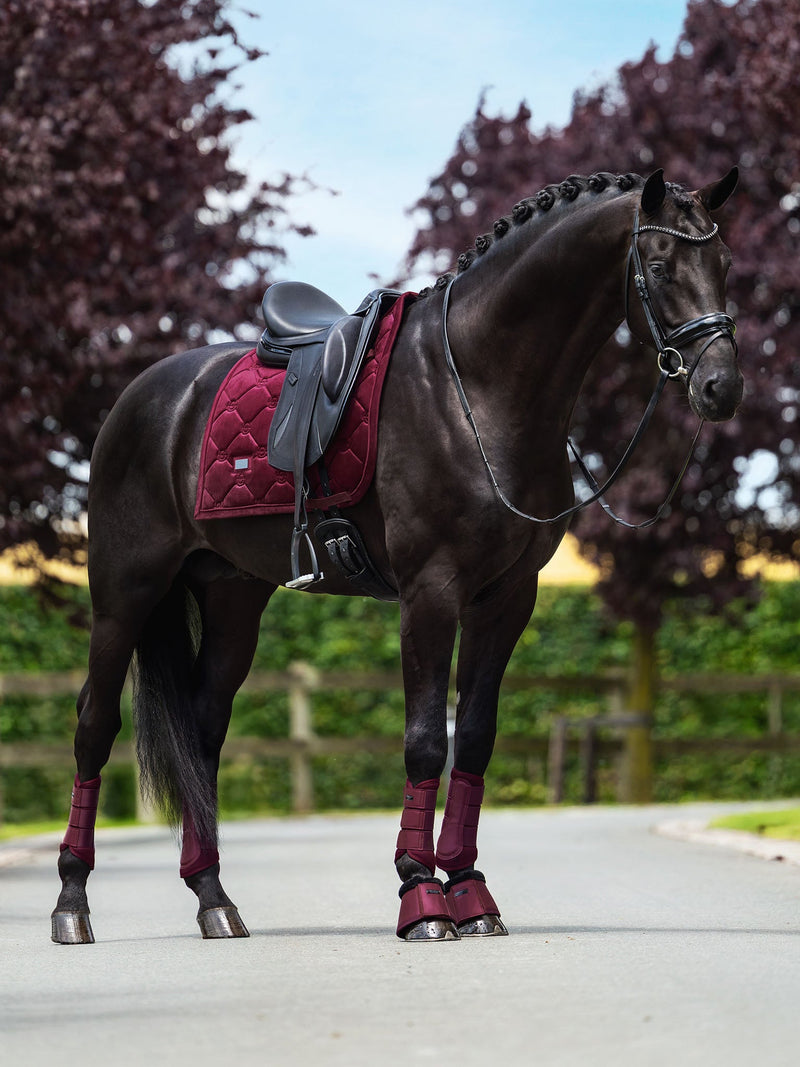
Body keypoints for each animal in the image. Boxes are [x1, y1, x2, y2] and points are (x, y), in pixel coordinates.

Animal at [51, 167, 743, 945]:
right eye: (660, 266)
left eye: (724, 264)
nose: (721, 387)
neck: (477, 386)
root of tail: (142, 398)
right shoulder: (430, 591)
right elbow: (424, 741)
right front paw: (422, 896)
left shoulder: (507, 597)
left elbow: (475, 739)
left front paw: (471, 891)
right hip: (125, 594)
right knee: (94, 725)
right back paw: (72, 903)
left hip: (233, 599)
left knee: (202, 731)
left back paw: (213, 899)